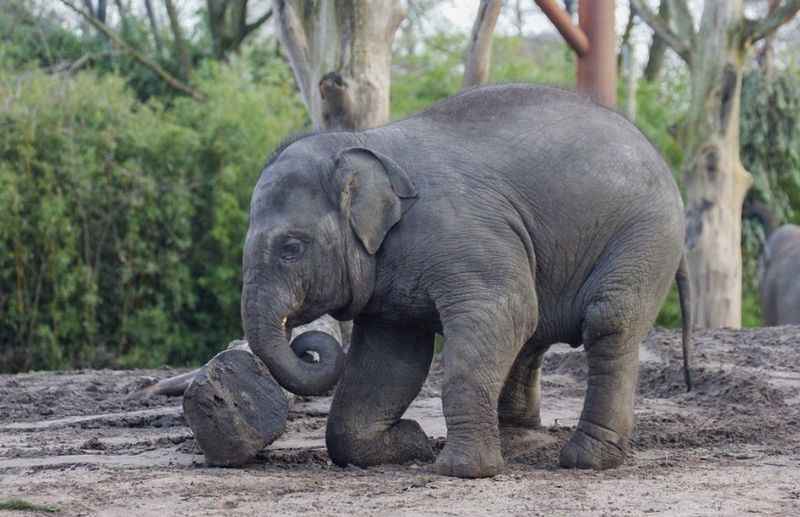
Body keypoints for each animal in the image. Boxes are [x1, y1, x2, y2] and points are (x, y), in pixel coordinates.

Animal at [241, 83, 692, 476]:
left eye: (291, 248)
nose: (307, 346)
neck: (363, 142)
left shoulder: (461, 233)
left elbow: (500, 312)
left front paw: (460, 470)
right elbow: (391, 358)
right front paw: (412, 444)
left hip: (644, 236)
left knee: (607, 321)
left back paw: (585, 460)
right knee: (535, 333)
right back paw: (518, 444)